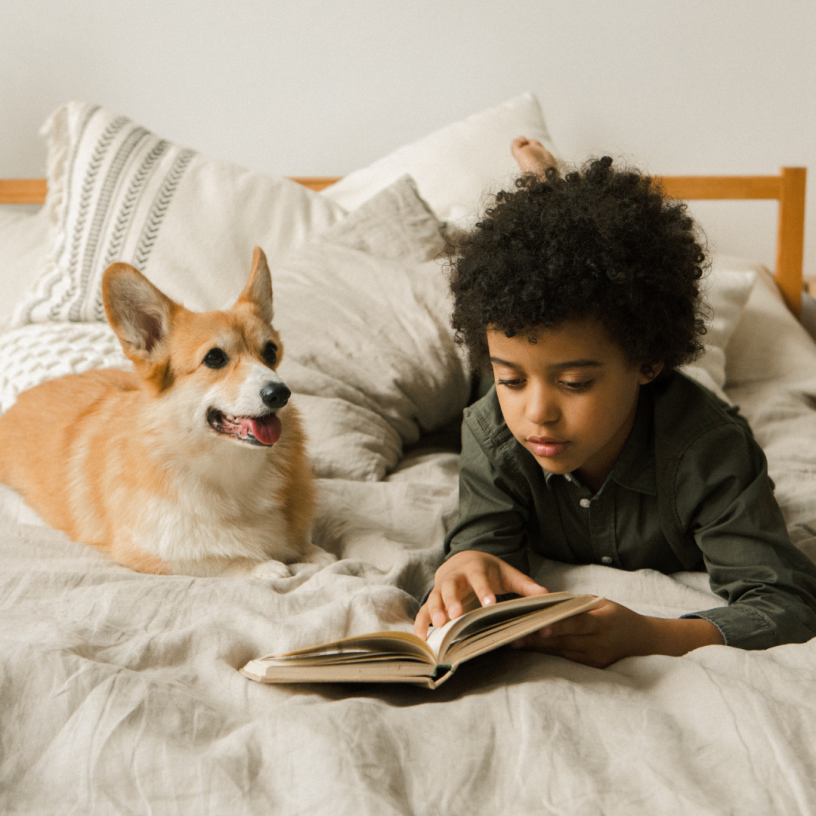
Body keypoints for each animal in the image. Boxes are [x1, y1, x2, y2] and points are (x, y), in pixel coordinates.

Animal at [0, 249, 334, 580]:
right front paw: (264, 565)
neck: (231, 468)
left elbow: (311, 549)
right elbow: (218, 559)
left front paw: (313, 555)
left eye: (270, 352)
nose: (280, 393)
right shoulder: (149, 553)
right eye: (214, 358)